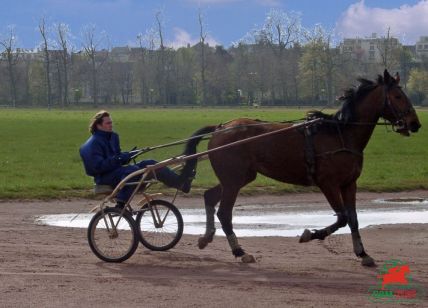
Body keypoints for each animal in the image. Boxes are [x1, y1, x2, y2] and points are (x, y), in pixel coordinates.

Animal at [181, 68, 422, 266]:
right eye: (398, 96)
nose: (415, 124)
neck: (341, 134)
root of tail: (220, 128)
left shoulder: (349, 184)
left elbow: (353, 218)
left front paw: (363, 253)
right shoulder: (328, 183)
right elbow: (342, 217)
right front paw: (310, 234)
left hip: (239, 177)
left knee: (210, 197)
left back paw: (206, 237)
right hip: (233, 179)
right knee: (224, 212)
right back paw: (240, 251)